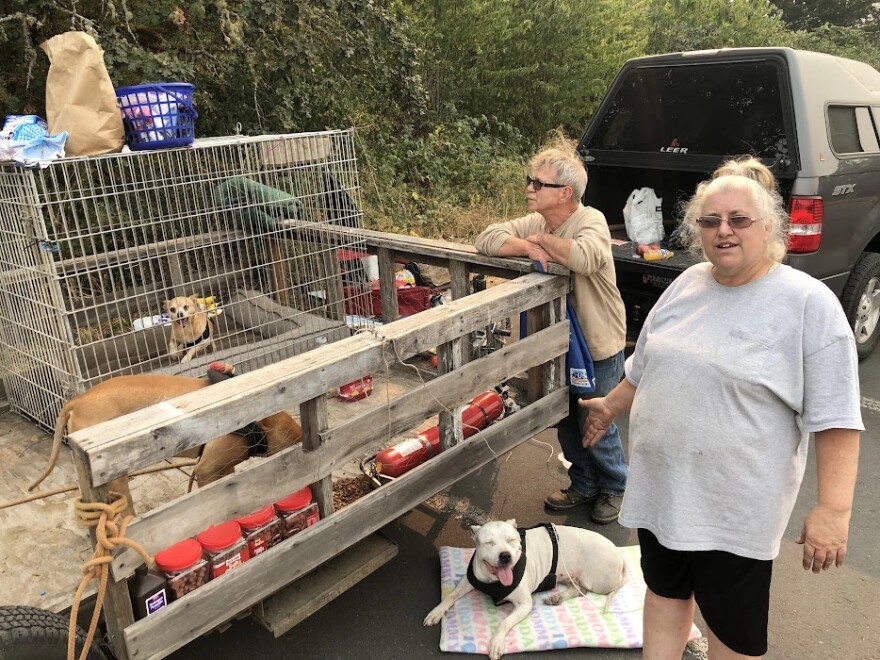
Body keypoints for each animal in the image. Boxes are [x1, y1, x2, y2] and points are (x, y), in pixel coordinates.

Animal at [424, 520, 624, 660]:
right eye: (489, 543)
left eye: (511, 540)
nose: (505, 556)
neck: (493, 580)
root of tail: (619, 554)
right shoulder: (470, 580)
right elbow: (451, 596)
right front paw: (436, 612)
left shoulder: (525, 604)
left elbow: (504, 622)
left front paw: (496, 643)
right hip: (569, 577)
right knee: (577, 589)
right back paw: (557, 597)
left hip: (593, 579)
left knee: (586, 590)